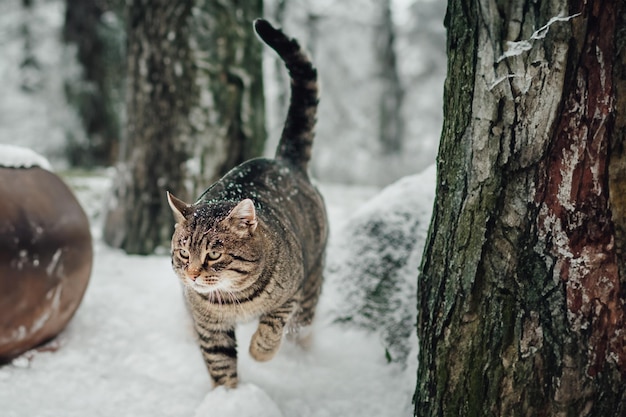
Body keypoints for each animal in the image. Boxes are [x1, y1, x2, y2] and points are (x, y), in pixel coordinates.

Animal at [166, 17, 326, 386]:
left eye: (213, 254)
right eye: (184, 253)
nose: (192, 275)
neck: (234, 301)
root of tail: (284, 160)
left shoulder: (290, 295)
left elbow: (271, 327)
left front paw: (260, 352)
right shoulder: (210, 326)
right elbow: (221, 364)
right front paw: (229, 396)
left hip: (312, 281)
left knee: (301, 326)